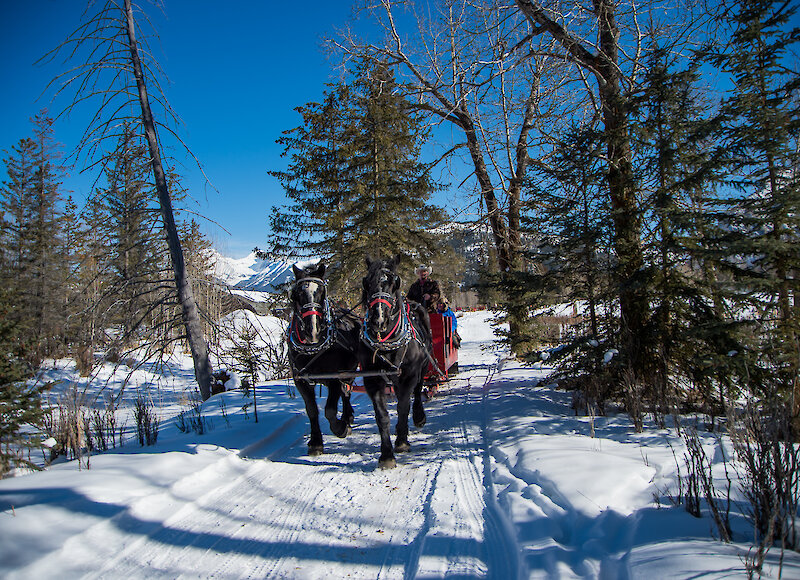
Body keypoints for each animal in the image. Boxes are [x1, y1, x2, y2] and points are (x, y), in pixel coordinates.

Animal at [288, 260, 360, 456]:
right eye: (297, 294)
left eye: (321, 291)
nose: (311, 330)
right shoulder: (300, 380)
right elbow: (312, 410)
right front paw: (315, 442)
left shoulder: (335, 376)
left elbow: (329, 410)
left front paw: (340, 428)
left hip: (350, 371)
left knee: (346, 392)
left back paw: (347, 417)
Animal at [358, 255, 432, 466]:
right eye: (366, 282)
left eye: (395, 281)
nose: (378, 319)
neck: (386, 342)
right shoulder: (372, 379)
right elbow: (382, 416)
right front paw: (386, 455)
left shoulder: (408, 376)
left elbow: (403, 407)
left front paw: (401, 441)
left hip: (423, 367)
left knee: (417, 391)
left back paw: (419, 416)